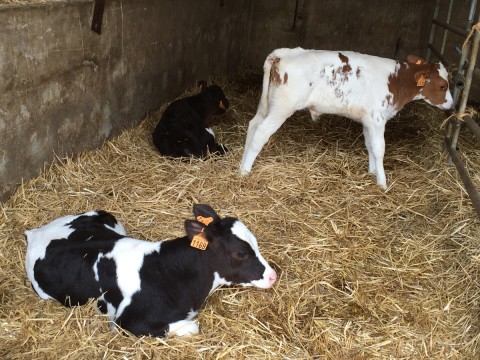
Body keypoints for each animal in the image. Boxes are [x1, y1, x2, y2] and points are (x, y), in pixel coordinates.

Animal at [240, 47, 454, 188]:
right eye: (443, 85)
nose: (452, 105)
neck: (395, 81)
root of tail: (288, 52)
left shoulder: (368, 120)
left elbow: (369, 145)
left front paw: (372, 172)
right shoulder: (377, 119)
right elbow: (379, 149)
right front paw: (382, 183)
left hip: (268, 104)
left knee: (253, 125)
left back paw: (240, 166)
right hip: (282, 107)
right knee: (261, 132)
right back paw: (245, 171)